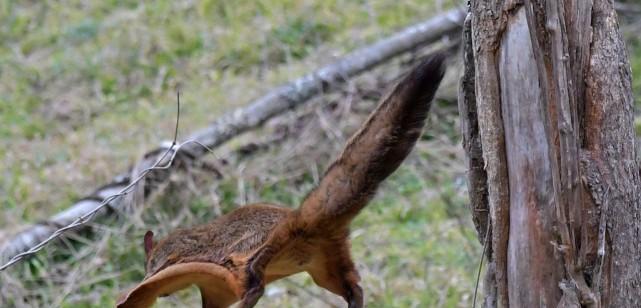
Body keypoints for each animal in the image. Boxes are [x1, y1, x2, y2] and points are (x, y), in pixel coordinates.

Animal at [116, 53, 444, 308]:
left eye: (150, 263)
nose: (154, 282)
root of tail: (301, 221)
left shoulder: (178, 252)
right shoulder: (214, 291)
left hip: (259, 250)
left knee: (256, 277)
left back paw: (251, 292)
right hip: (328, 264)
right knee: (353, 285)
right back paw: (355, 301)